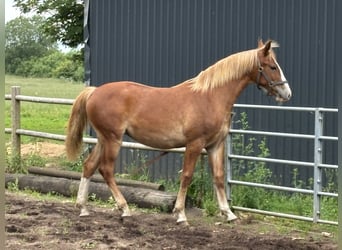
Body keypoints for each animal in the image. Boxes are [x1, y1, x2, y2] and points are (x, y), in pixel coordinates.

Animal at [66, 40, 292, 225]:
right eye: (272, 67)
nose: (287, 93)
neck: (210, 97)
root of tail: (94, 91)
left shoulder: (215, 145)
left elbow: (219, 177)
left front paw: (228, 214)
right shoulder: (194, 144)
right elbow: (187, 176)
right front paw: (181, 214)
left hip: (103, 139)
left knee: (89, 166)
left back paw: (83, 208)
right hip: (113, 139)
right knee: (106, 170)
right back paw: (125, 210)